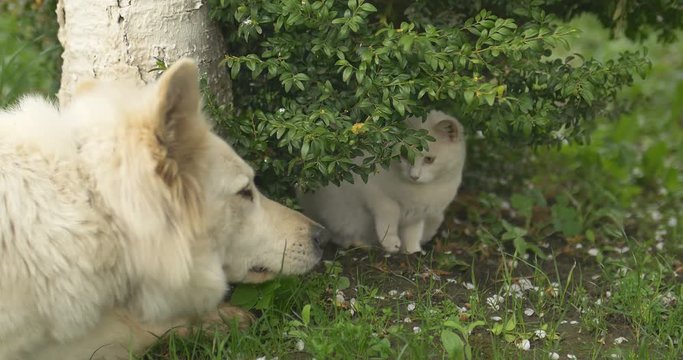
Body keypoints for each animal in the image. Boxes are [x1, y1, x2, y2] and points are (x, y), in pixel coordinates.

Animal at [300, 109, 464, 253]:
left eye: (429, 159)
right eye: (404, 155)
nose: (414, 176)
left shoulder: (417, 216)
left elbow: (413, 234)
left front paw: (413, 252)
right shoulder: (377, 195)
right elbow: (389, 218)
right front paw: (391, 243)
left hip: (436, 218)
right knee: (342, 236)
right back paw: (362, 244)